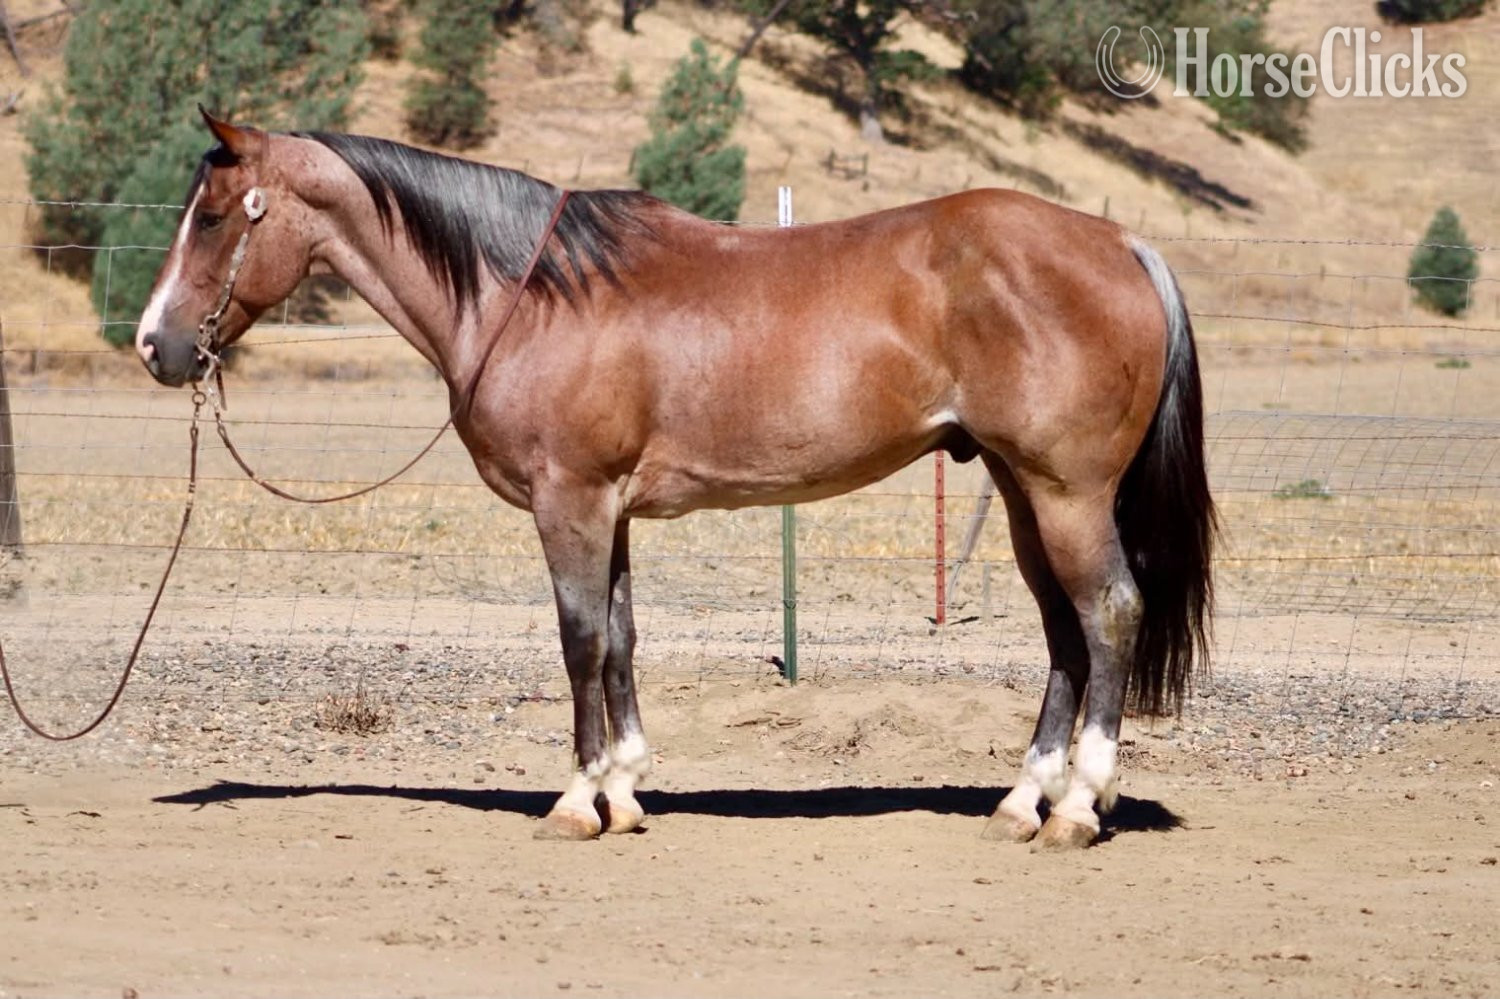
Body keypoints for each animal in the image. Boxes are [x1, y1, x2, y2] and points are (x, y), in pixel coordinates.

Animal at [135, 111, 1214, 850]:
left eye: (216, 217)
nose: (155, 344)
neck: (531, 295)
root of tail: (1120, 242)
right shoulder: (607, 510)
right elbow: (618, 638)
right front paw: (624, 789)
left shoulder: (568, 501)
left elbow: (577, 640)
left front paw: (577, 802)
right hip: (1021, 490)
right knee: (1064, 633)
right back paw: (1024, 801)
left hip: (1067, 493)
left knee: (1109, 614)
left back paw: (1078, 809)